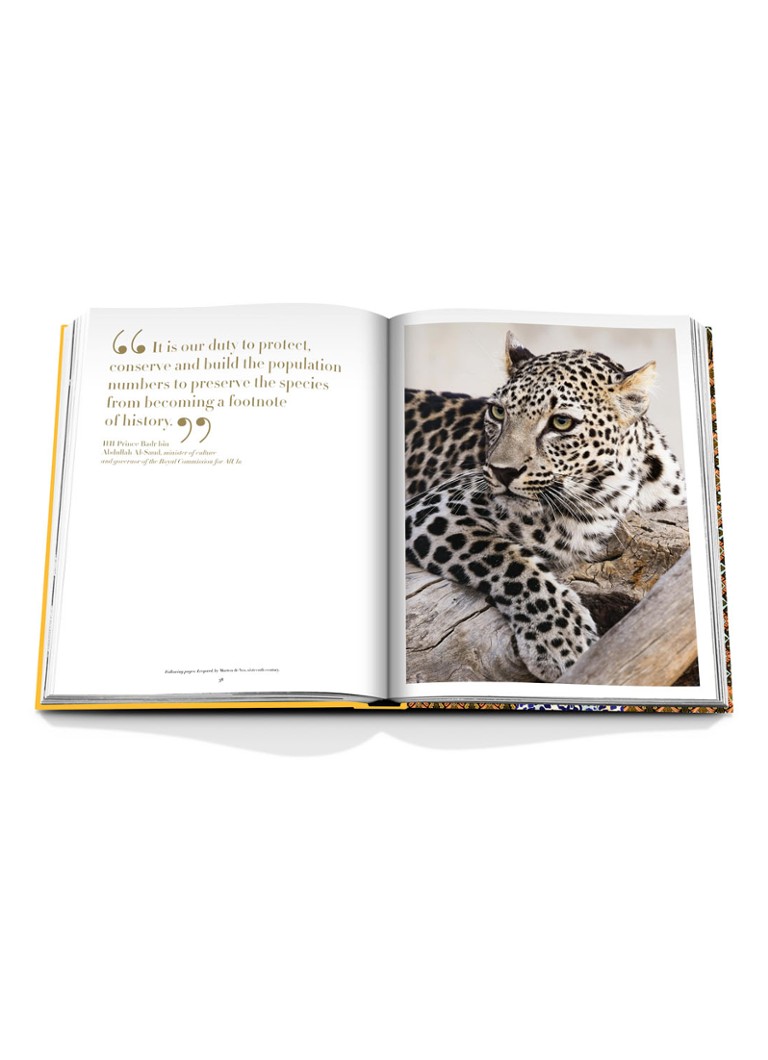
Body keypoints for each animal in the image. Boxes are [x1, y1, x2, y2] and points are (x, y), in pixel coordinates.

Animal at [405, 331, 686, 682]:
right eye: (498, 413)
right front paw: (562, 642)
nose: (502, 472)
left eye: (561, 422)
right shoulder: (437, 509)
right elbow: (510, 561)